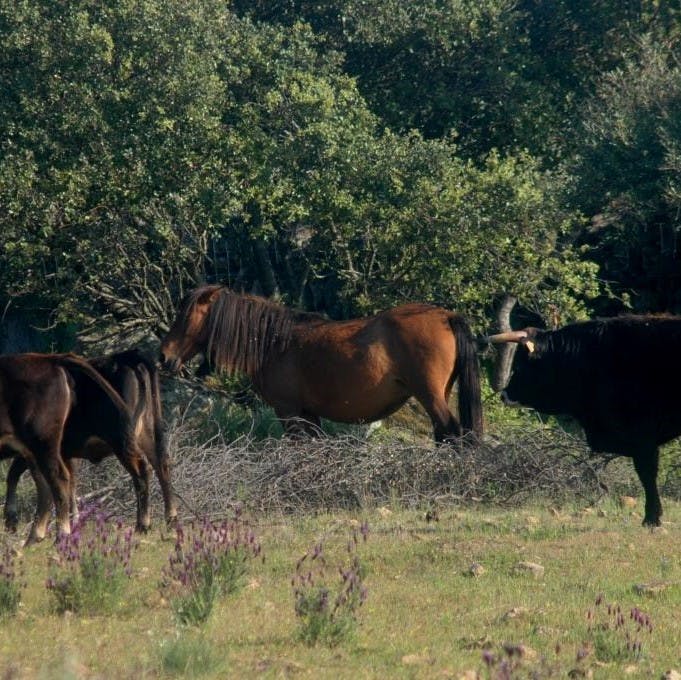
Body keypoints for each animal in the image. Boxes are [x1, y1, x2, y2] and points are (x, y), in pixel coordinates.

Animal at [3, 350, 178, 536]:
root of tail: (128, 357)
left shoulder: (37, 448)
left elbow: (14, 473)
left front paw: (10, 519)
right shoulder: (62, 454)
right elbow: (70, 484)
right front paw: (73, 520)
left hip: (122, 440)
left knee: (142, 470)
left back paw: (142, 525)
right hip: (146, 434)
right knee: (162, 466)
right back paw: (171, 520)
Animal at [158, 286, 484, 440]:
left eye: (186, 316)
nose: (164, 356)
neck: (274, 343)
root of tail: (445, 316)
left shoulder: (289, 412)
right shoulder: (309, 414)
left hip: (430, 396)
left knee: (453, 434)